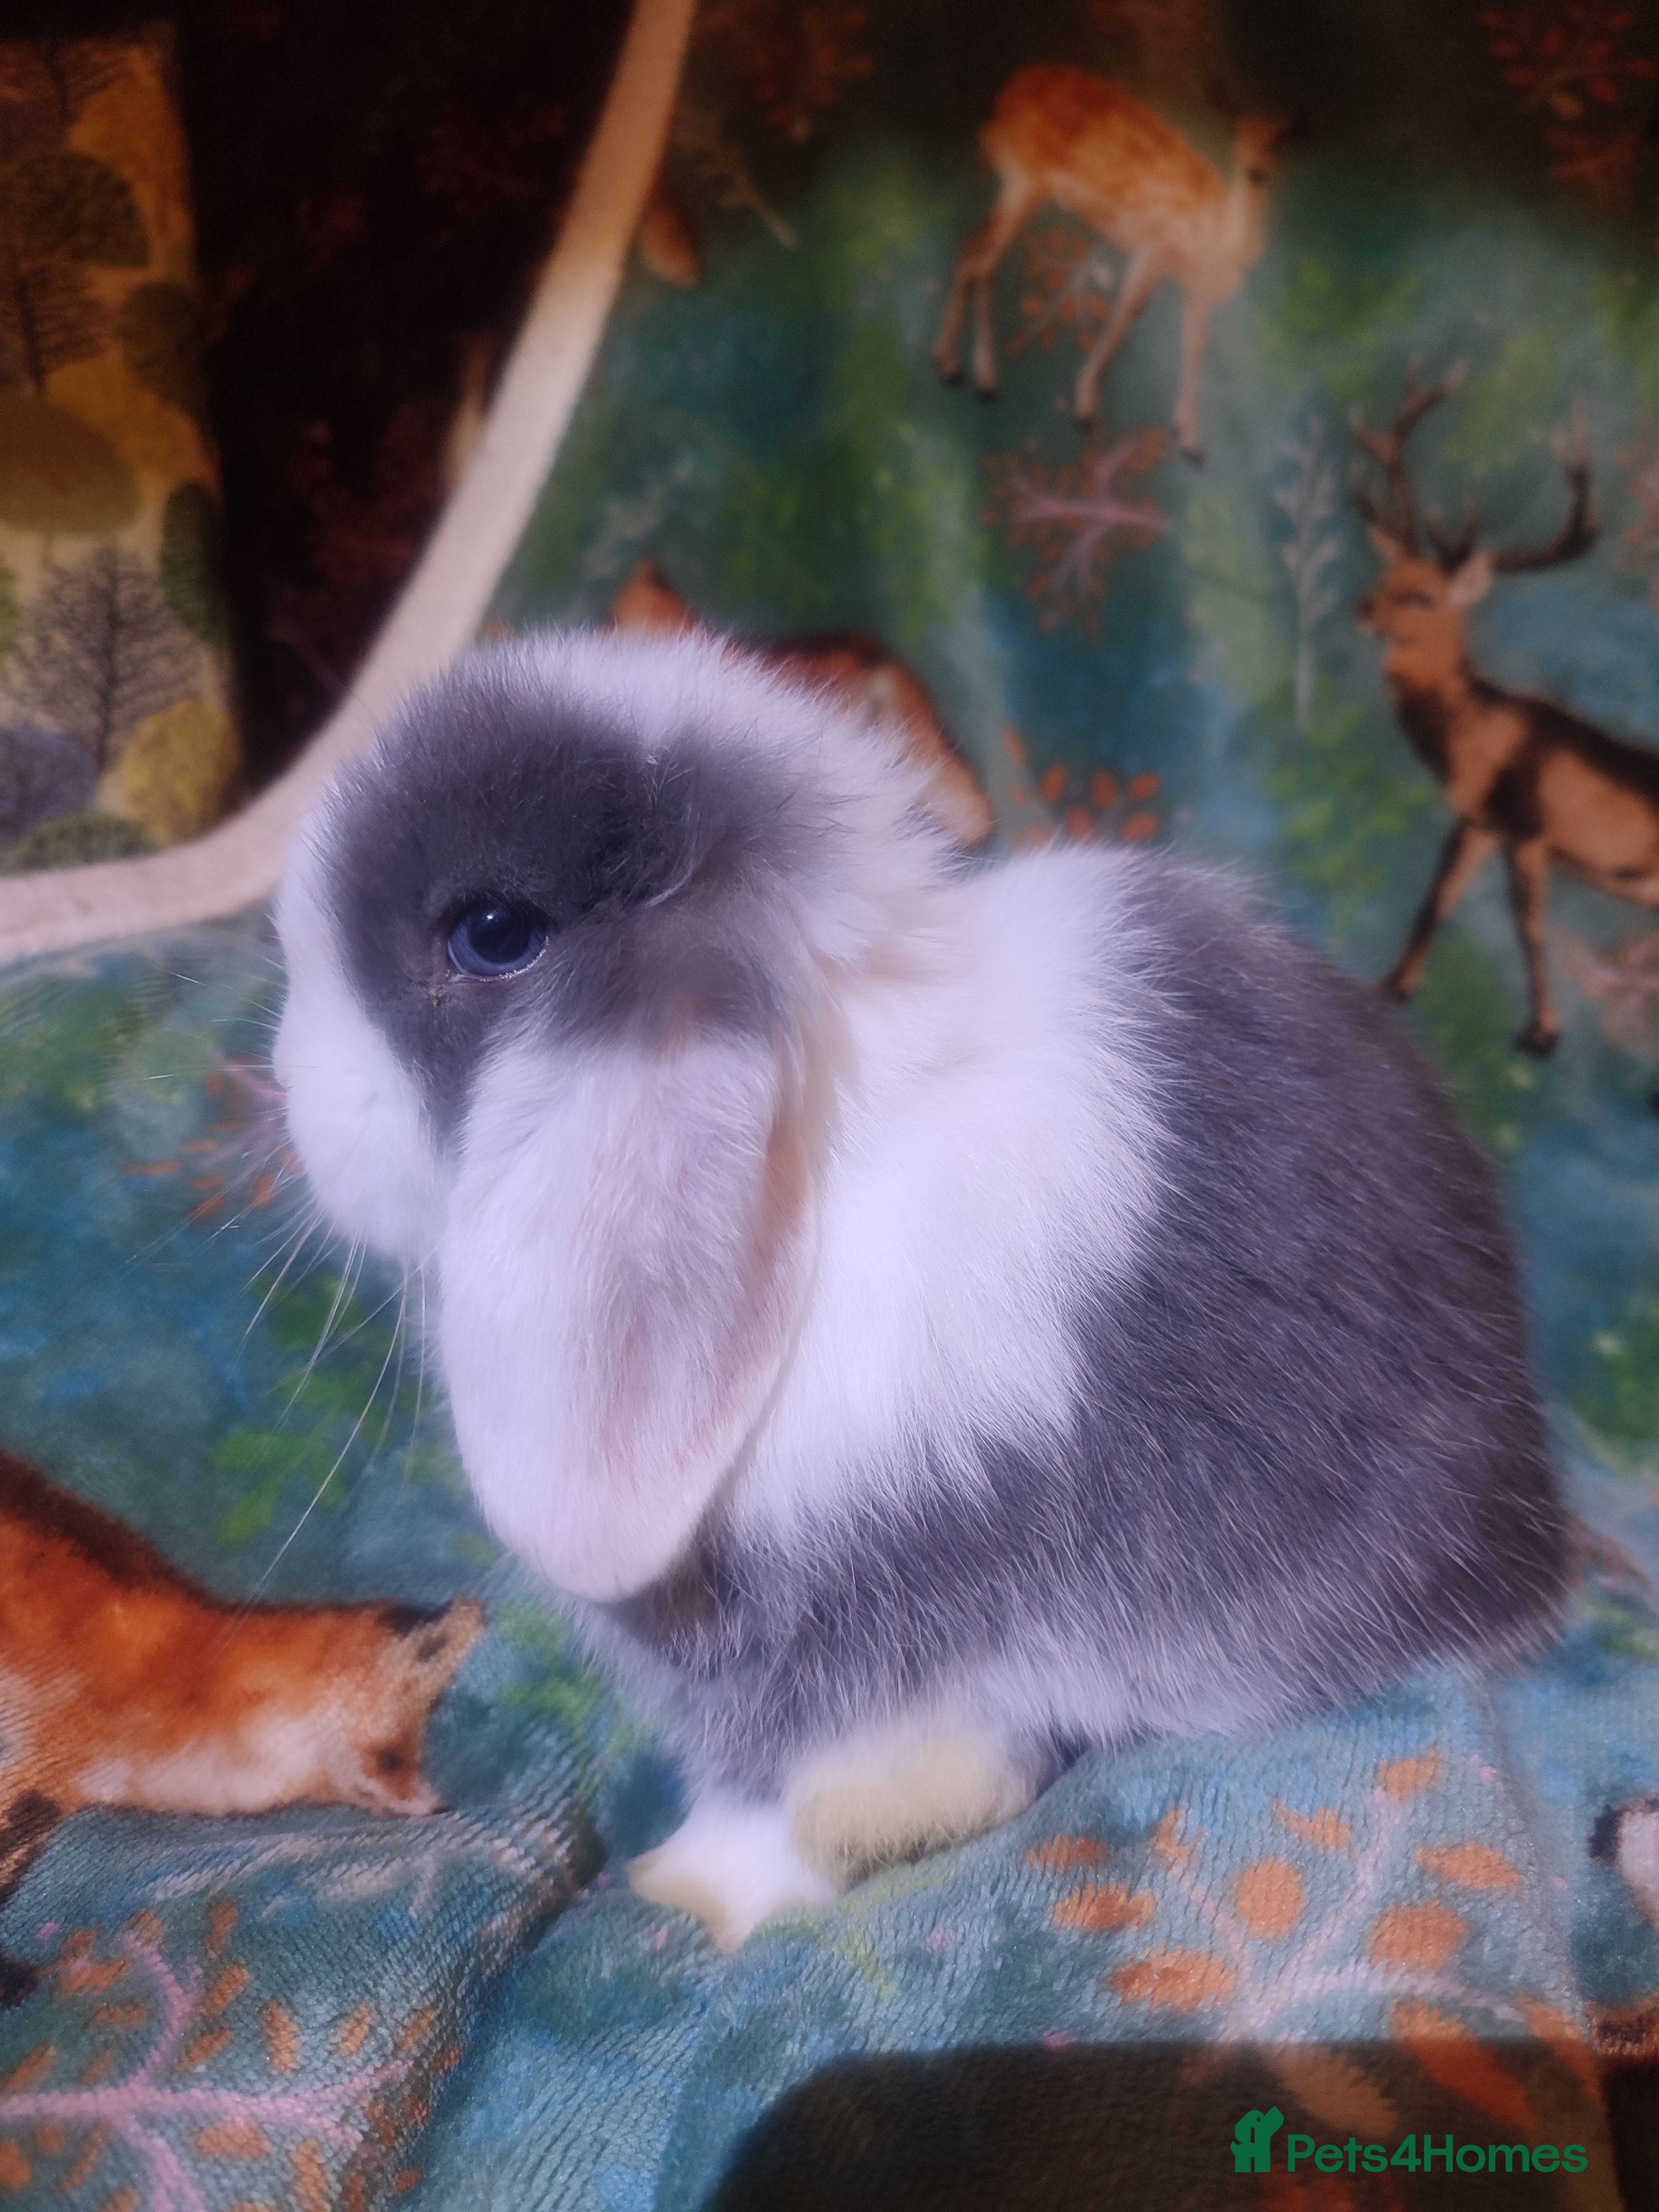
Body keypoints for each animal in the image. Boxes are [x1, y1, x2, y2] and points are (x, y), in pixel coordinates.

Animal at [273, 626, 1566, 1950]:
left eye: (490, 934)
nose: (291, 1093)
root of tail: (1526, 1545)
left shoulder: (842, 1632)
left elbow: (780, 1781)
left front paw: (697, 1888)